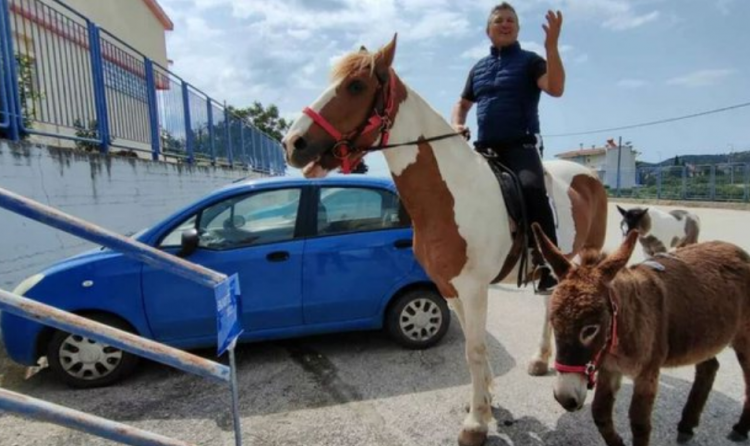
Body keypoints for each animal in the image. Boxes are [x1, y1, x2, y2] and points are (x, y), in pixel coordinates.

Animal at [284, 35, 612, 446]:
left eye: (355, 86)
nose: (293, 143)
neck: (452, 191)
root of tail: (589, 175)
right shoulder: (450, 286)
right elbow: (473, 348)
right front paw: (486, 400)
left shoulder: (474, 288)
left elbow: (474, 349)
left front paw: (476, 422)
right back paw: (540, 360)